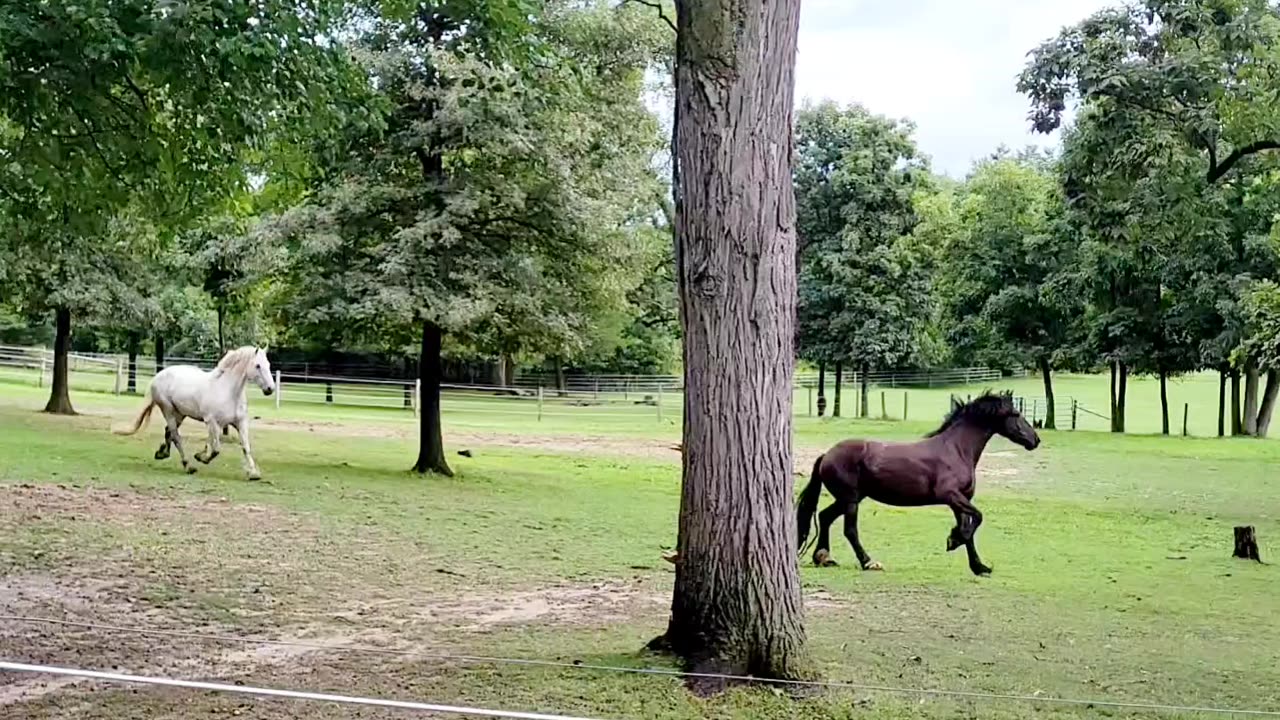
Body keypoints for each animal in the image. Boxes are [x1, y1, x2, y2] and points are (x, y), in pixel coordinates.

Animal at [116, 345, 276, 479]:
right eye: (257, 365)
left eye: (268, 365)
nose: (270, 389)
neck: (227, 391)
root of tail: (157, 376)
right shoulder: (212, 422)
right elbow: (216, 449)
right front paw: (201, 457)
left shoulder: (239, 423)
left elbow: (245, 447)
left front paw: (253, 473)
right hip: (168, 410)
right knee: (175, 436)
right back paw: (188, 466)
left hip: (180, 414)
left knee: (168, 432)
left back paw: (162, 453)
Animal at [798, 389, 1039, 573]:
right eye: (1016, 413)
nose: (1035, 440)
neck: (956, 450)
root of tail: (826, 455)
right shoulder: (950, 495)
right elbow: (977, 519)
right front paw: (953, 541)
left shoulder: (961, 501)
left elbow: (969, 530)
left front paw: (978, 566)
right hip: (850, 500)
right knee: (849, 530)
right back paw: (868, 562)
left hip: (849, 498)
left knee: (824, 517)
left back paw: (823, 557)